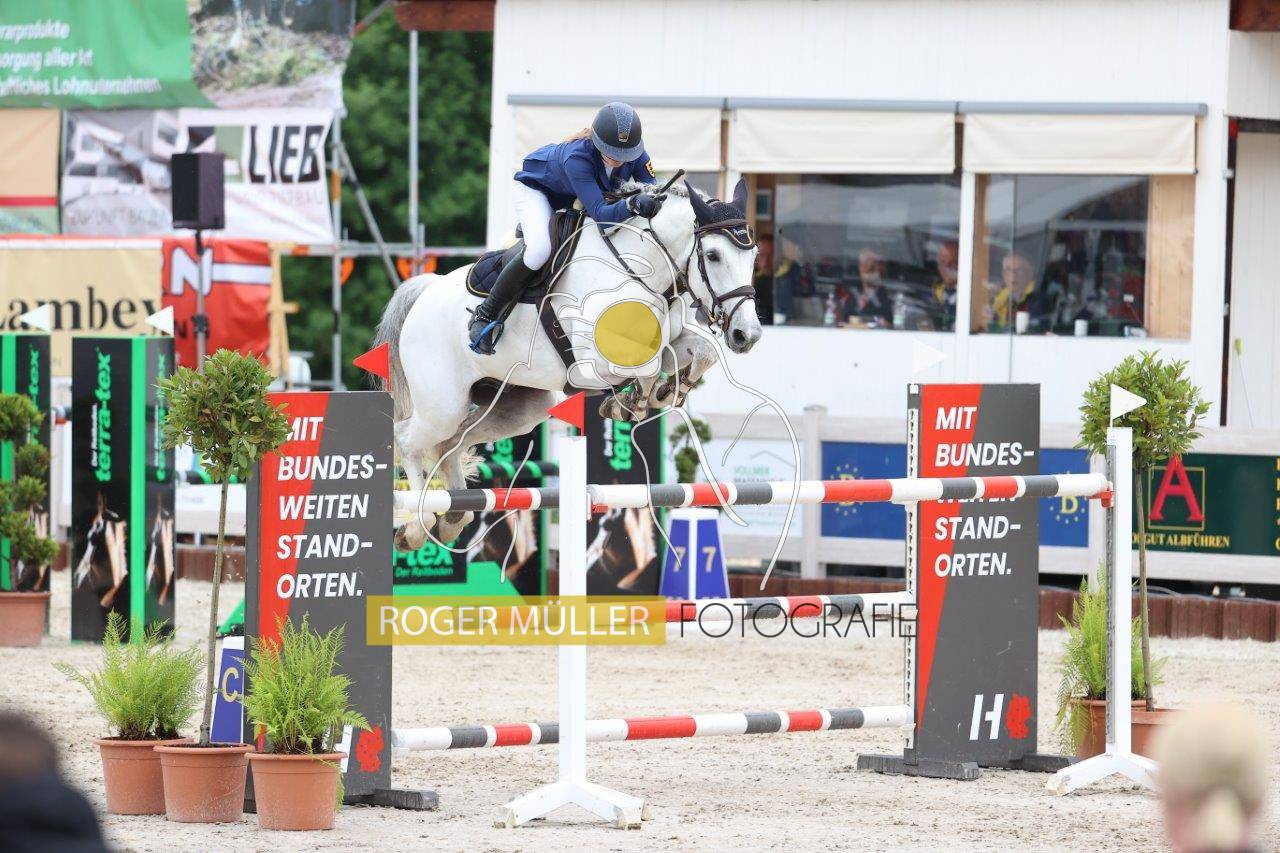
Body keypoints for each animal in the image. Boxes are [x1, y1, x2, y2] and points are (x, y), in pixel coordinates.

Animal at [374, 179, 762, 552]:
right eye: (712, 255)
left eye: (754, 256)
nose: (747, 334)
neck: (638, 267)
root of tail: (426, 291)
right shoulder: (592, 361)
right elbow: (647, 367)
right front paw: (629, 403)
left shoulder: (669, 341)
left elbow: (702, 352)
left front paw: (665, 393)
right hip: (443, 405)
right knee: (407, 439)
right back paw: (416, 527)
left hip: (520, 408)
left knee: (452, 443)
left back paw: (453, 519)